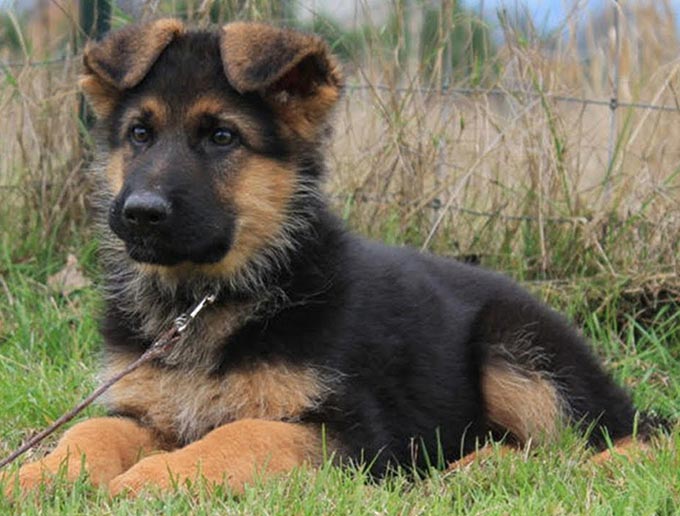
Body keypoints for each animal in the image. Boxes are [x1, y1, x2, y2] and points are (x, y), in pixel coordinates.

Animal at [3, 19, 664, 496]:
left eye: (222, 137)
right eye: (139, 134)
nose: (140, 213)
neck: (207, 299)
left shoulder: (355, 436)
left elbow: (242, 434)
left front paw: (145, 481)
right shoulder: (146, 413)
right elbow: (90, 428)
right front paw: (36, 476)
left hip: (517, 348)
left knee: (603, 442)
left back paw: (493, 472)